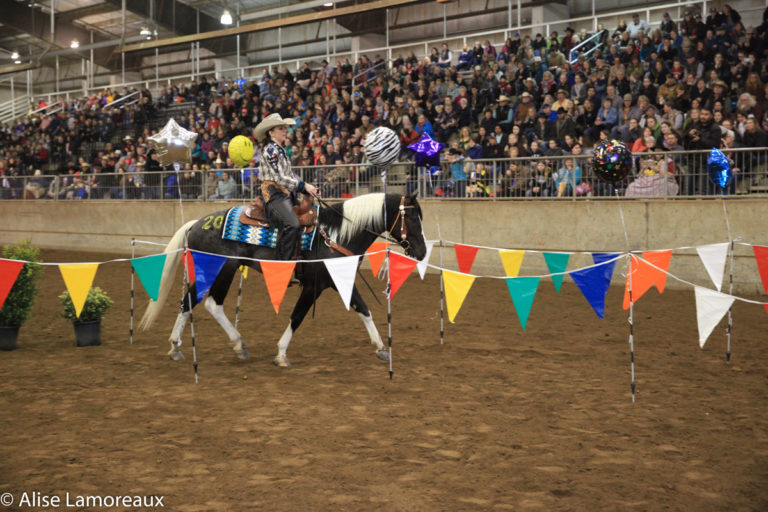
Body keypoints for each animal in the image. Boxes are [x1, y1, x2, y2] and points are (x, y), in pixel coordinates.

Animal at [138, 190, 426, 366]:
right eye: (412, 217)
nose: (422, 252)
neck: (335, 234)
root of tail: (197, 223)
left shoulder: (337, 282)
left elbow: (363, 309)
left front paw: (381, 348)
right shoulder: (313, 286)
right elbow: (297, 316)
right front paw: (281, 353)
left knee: (189, 301)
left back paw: (176, 347)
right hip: (223, 270)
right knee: (210, 303)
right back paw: (238, 344)